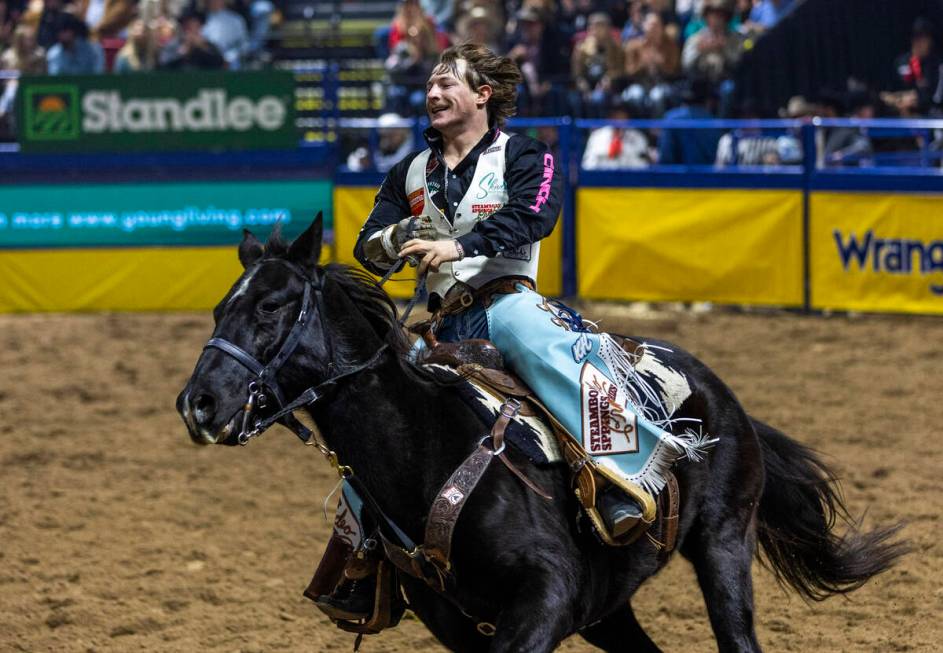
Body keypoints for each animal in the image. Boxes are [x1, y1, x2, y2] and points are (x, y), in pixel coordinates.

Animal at [177, 219, 908, 652]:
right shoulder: (465, 626)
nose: (198, 403)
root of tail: (718, 394)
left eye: (272, 306)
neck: (427, 454)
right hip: (611, 607)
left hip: (724, 546)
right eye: (217, 309)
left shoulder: (544, 599)